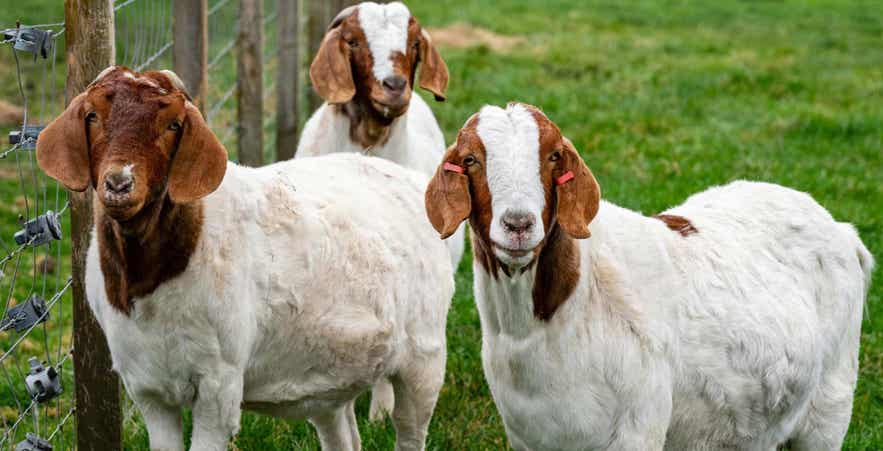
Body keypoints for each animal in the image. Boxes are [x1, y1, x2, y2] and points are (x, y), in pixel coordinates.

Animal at [36, 66, 453, 451]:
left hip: (424, 354)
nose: (119, 183)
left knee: (411, 431)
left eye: (174, 124)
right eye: (92, 115)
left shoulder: (218, 384)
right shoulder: (147, 387)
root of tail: (411, 179)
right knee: (342, 433)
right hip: (336, 367)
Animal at [424, 102, 872, 450]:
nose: (518, 224)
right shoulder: (529, 436)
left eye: (553, 157)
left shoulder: (639, 424)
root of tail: (841, 230)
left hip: (831, 400)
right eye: (470, 159)